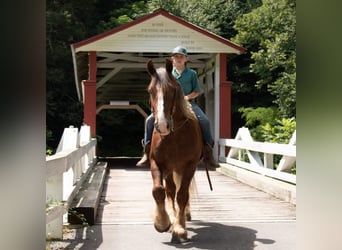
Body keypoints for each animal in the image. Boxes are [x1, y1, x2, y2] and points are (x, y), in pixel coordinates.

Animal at [145, 58, 203, 242]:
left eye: (172, 90)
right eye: (150, 91)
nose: (162, 126)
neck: (175, 134)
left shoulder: (190, 166)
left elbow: (182, 195)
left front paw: (179, 228)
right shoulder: (156, 163)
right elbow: (159, 190)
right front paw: (162, 222)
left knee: (180, 193)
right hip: (170, 169)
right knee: (170, 191)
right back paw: (171, 216)